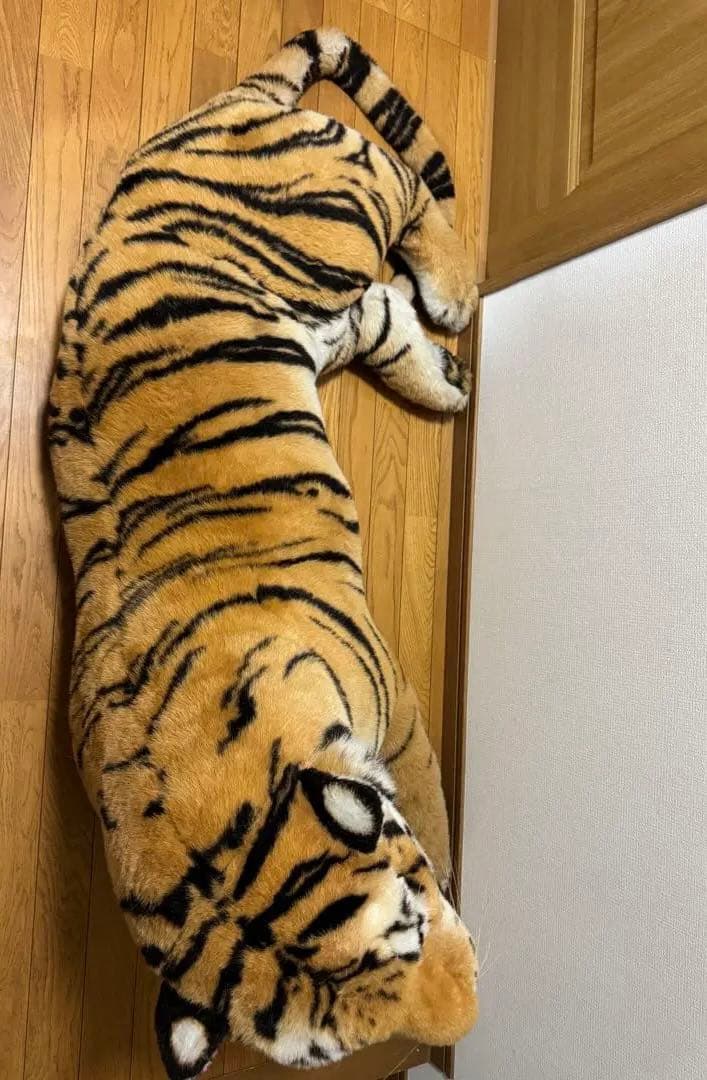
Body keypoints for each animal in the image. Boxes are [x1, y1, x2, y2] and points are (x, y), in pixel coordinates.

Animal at [47, 27, 479, 1079]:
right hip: (315, 304)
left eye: (414, 918)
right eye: (341, 1045)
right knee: (379, 309)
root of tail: (223, 106)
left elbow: (433, 803)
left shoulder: (402, 711)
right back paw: (444, 376)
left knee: (406, 186)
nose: (466, 1026)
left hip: (333, 217)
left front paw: (456, 861)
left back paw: (453, 298)